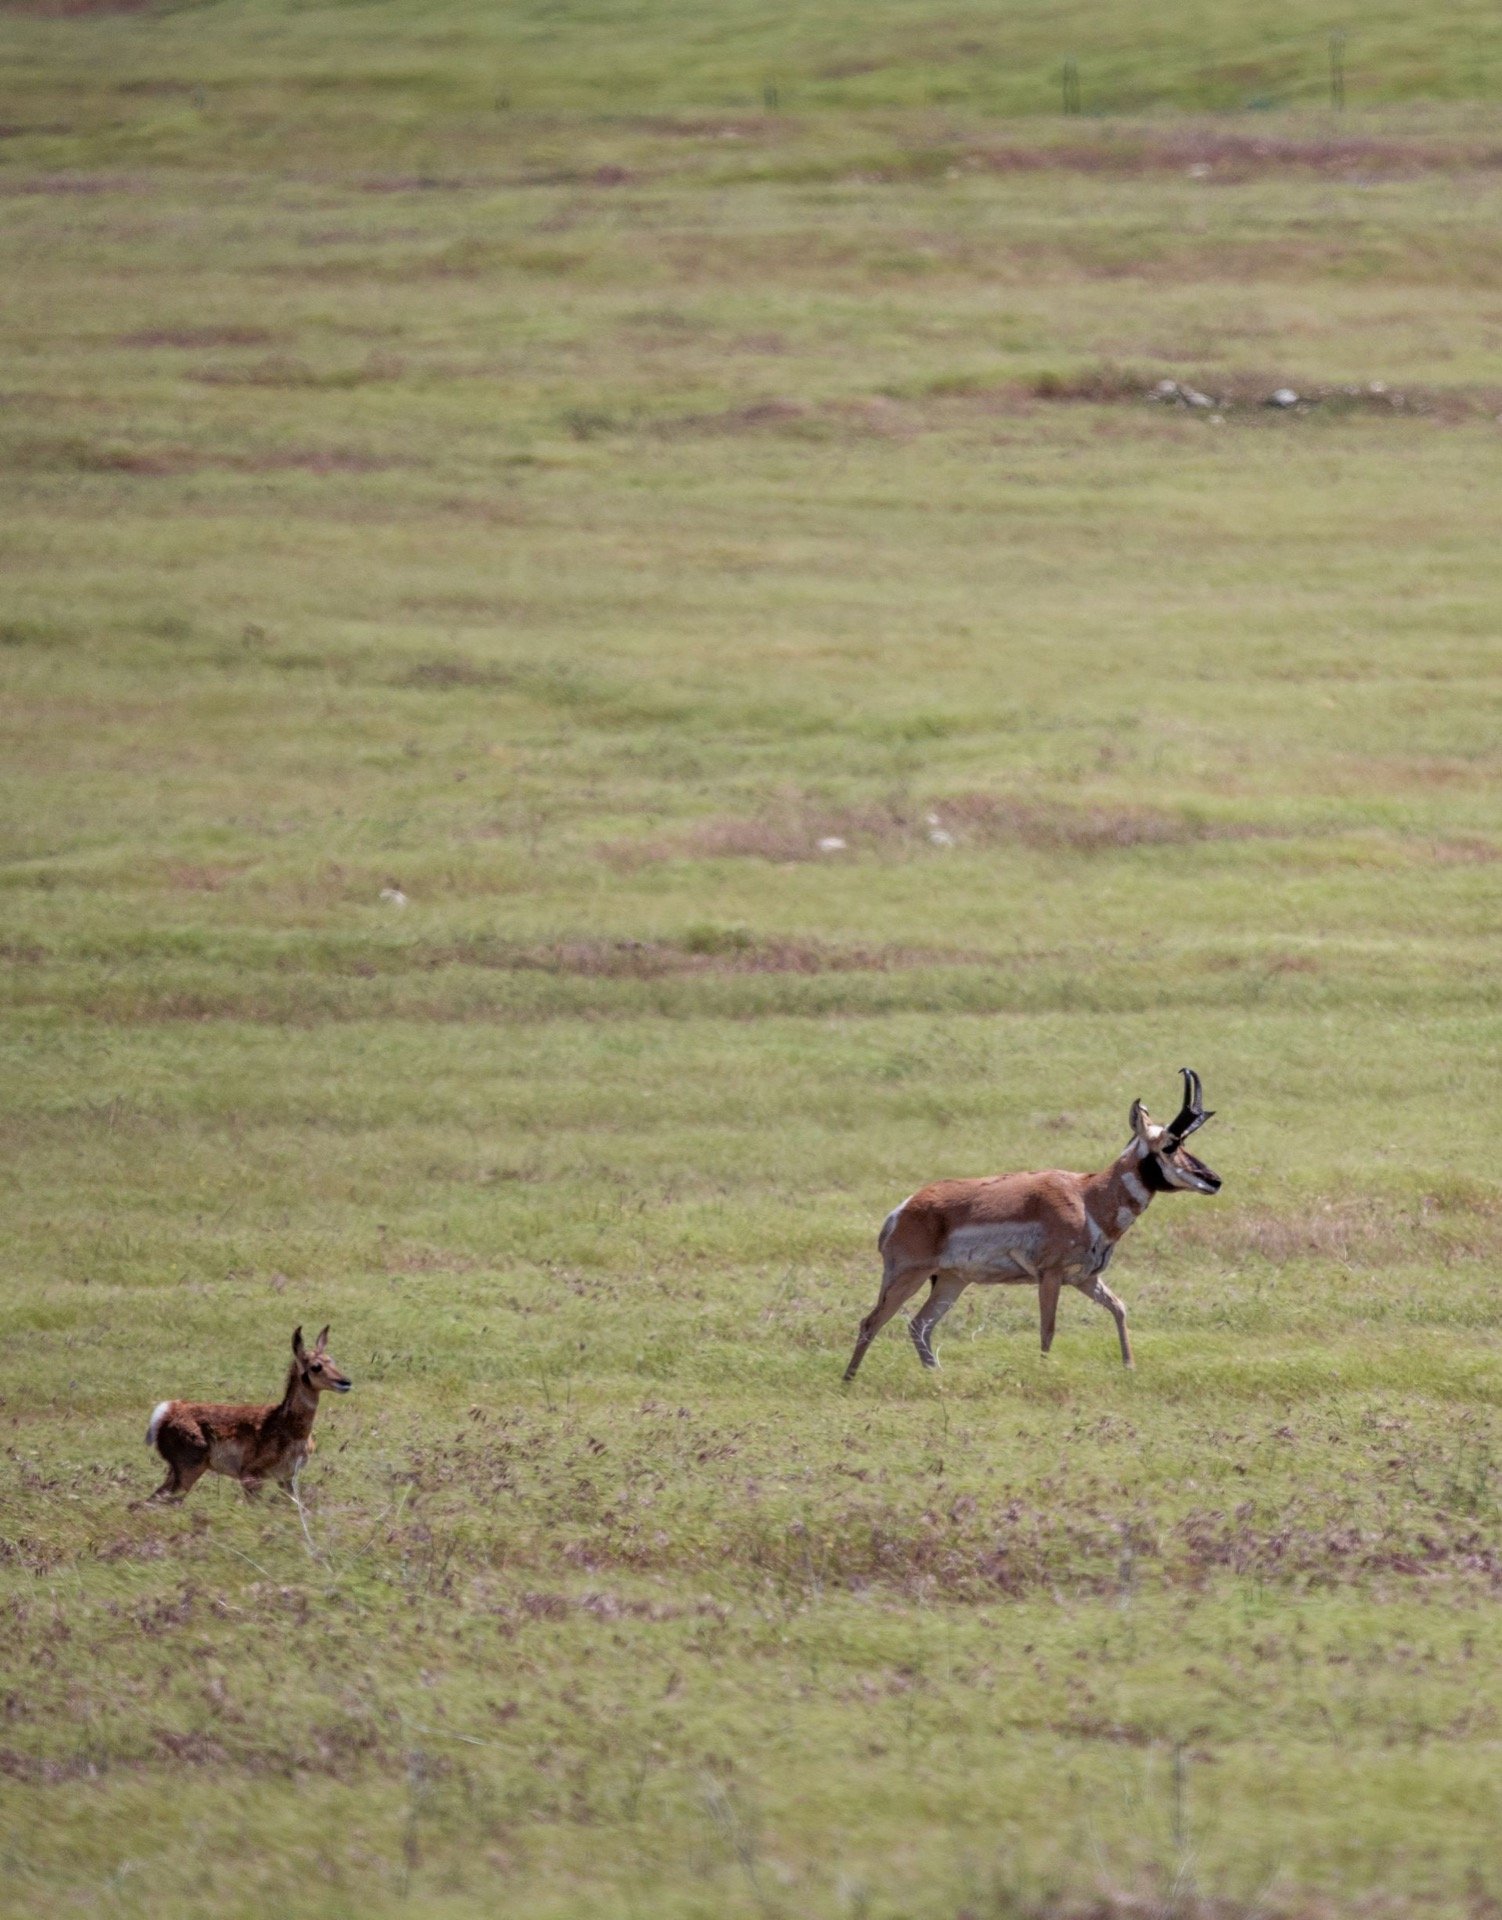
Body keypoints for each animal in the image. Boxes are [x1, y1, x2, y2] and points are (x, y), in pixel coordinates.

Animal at [141, 1325, 351, 1504]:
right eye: (316, 1366)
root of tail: (169, 1410)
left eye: (332, 1360)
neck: (286, 1425)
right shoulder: (251, 1477)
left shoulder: (287, 1478)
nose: (346, 1382)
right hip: (188, 1472)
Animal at [843, 1069, 1221, 1382]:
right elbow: (1048, 1328)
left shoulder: (1085, 1279)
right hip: (908, 1277)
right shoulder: (1050, 1276)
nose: (1214, 1180)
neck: (1087, 1197)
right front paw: (1044, 1373)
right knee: (871, 1322)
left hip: (950, 1282)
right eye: (1170, 1145)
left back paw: (937, 1376)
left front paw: (1129, 1366)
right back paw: (849, 1381)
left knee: (919, 1325)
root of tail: (903, 1209)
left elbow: (1120, 1308)